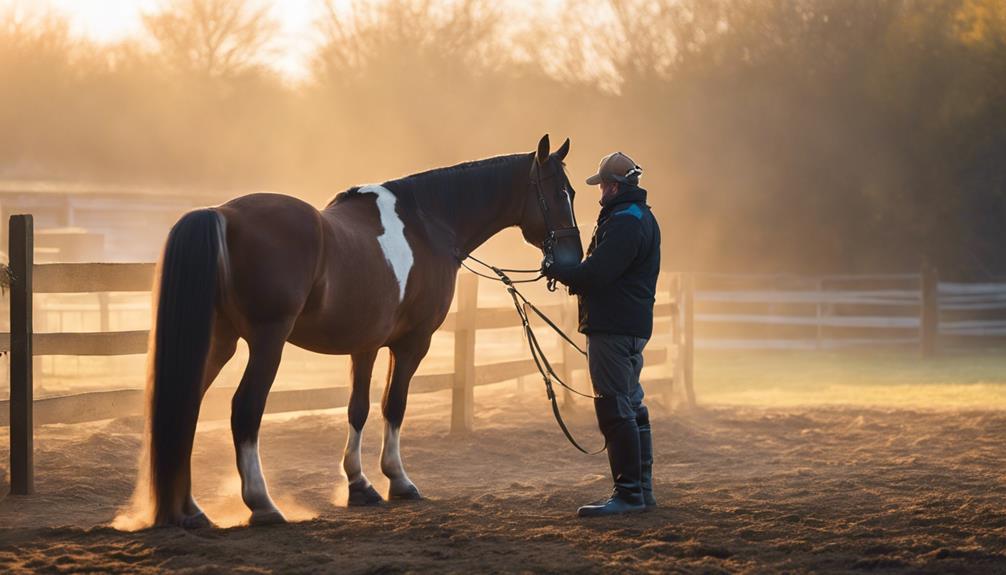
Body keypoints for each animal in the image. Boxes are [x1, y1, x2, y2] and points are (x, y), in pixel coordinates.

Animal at [139, 133, 583, 526]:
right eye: (560, 193)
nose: (571, 260)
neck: (429, 226)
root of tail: (223, 215)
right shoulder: (413, 343)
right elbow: (393, 405)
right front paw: (398, 480)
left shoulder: (365, 344)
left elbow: (358, 408)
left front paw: (359, 485)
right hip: (267, 342)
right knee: (245, 409)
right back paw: (262, 504)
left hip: (219, 341)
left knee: (187, 406)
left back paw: (190, 510)